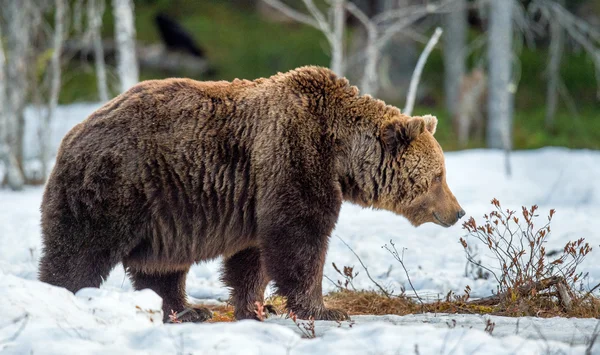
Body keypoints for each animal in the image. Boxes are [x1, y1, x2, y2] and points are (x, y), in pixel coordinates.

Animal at [38, 65, 464, 324]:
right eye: (439, 175)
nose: (458, 212)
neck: (340, 153)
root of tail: (70, 135)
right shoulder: (293, 159)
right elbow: (300, 239)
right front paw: (324, 309)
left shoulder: (257, 193)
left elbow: (252, 256)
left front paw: (258, 307)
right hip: (116, 188)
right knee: (78, 254)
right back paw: (61, 296)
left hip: (163, 215)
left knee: (163, 268)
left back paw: (188, 309)